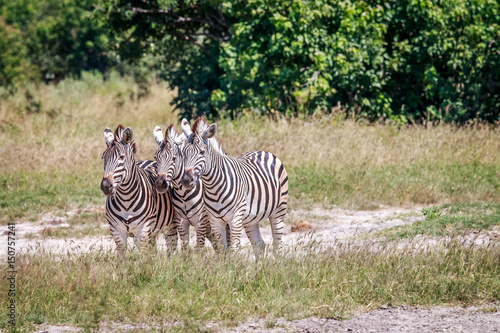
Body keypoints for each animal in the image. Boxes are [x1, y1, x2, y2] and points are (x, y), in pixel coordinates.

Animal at [99, 124, 176, 252]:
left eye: (121, 157)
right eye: (103, 158)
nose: (106, 186)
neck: (126, 199)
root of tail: (148, 161)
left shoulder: (143, 229)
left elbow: (142, 255)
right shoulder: (116, 230)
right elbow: (122, 255)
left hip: (171, 224)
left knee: (171, 246)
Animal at [153, 119, 229, 249]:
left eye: (174, 158)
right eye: (155, 157)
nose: (159, 184)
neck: (183, 195)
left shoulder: (201, 222)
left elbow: (199, 248)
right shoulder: (181, 222)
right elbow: (185, 248)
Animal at [180, 116, 290, 256]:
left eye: (202, 152)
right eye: (183, 153)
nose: (186, 180)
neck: (213, 187)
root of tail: (262, 151)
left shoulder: (235, 218)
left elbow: (233, 250)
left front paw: (234, 262)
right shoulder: (215, 221)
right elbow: (222, 250)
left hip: (279, 209)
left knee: (277, 245)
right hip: (251, 219)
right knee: (259, 245)